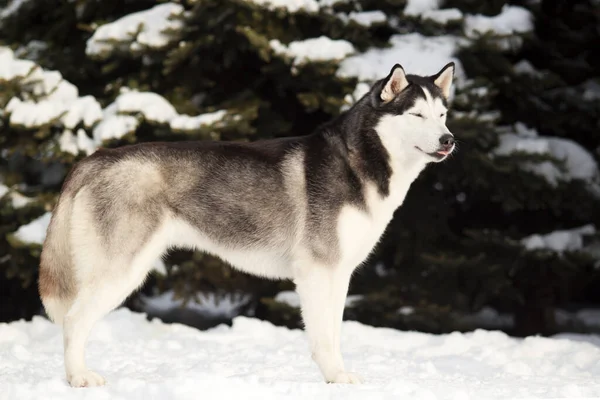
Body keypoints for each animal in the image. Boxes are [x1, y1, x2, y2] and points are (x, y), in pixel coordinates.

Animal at [38, 63, 454, 388]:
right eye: (416, 115)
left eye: (442, 114)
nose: (449, 140)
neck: (358, 162)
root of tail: (95, 158)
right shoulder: (318, 270)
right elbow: (323, 337)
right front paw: (336, 377)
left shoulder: (339, 272)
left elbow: (334, 331)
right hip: (120, 271)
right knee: (73, 321)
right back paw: (78, 378)